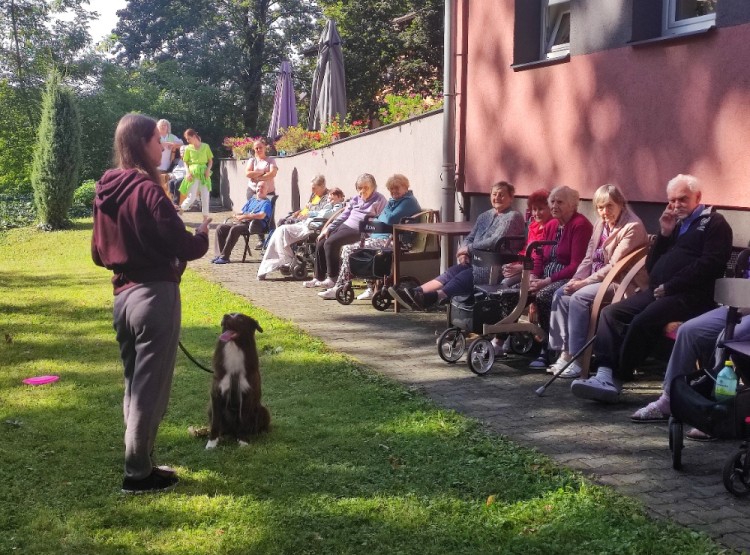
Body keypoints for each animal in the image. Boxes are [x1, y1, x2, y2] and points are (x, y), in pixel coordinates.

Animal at [207, 314, 272, 450]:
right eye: (229, 313)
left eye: (241, 319)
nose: (225, 316)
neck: (234, 346)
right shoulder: (216, 395)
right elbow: (215, 422)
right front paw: (211, 443)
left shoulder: (247, 395)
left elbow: (244, 420)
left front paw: (243, 441)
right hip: (209, 409)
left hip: (263, 411)